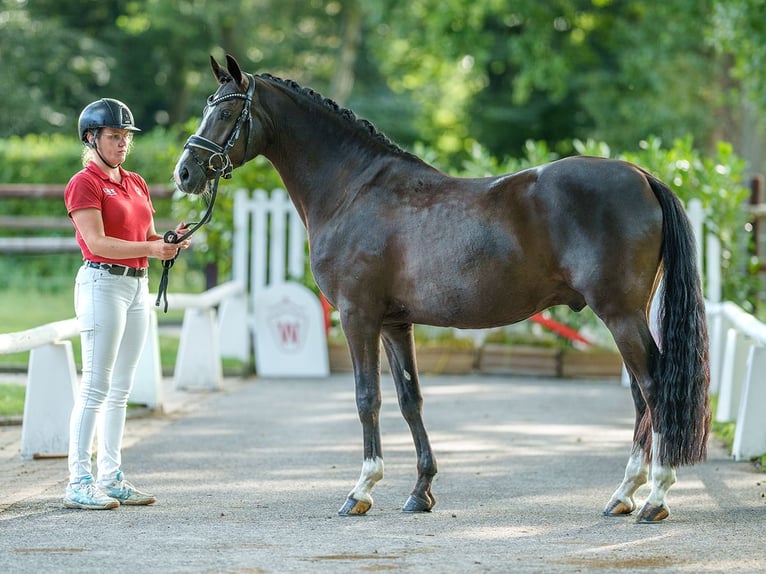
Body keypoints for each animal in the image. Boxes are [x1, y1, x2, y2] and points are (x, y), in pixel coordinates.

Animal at [176, 55, 712, 528]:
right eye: (207, 105)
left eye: (226, 112)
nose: (185, 172)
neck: (353, 190)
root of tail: (642, 176)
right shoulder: (395, 323)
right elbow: (409, 398)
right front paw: (421, 491)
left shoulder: (357, 315)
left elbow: (367, 398)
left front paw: (361, 490)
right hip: (626, 316)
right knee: (641, 397)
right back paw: (624, 494)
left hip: (619, 314)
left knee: (655, 388)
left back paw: (655, 497)